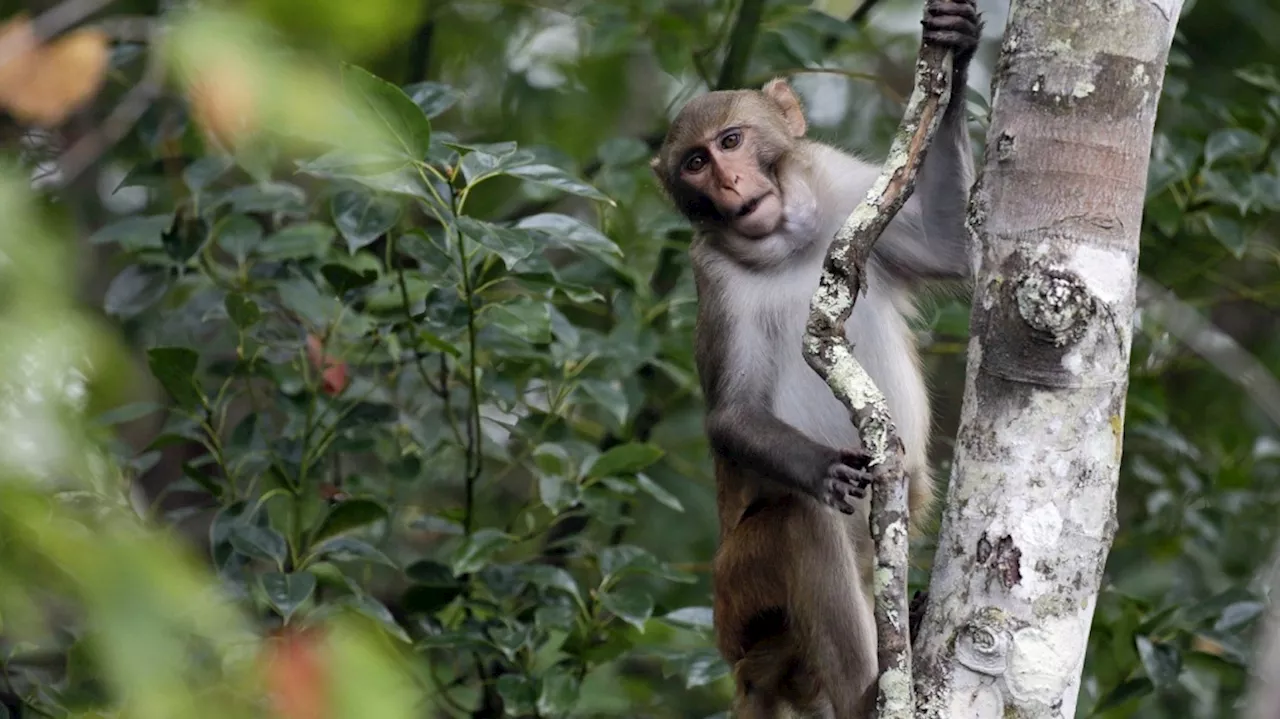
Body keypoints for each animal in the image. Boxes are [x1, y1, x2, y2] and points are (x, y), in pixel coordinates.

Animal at [645, 2, 983, 711]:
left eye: (731, 141)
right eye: (694, 163)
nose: (728, 182)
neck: (789, 243)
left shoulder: (844, 186)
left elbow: (951, 247)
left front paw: (958, 47)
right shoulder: (714, 279)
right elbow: (733, 414)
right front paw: (823, 466)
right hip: (740, 597)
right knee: (801, 522)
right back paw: (866, 695)